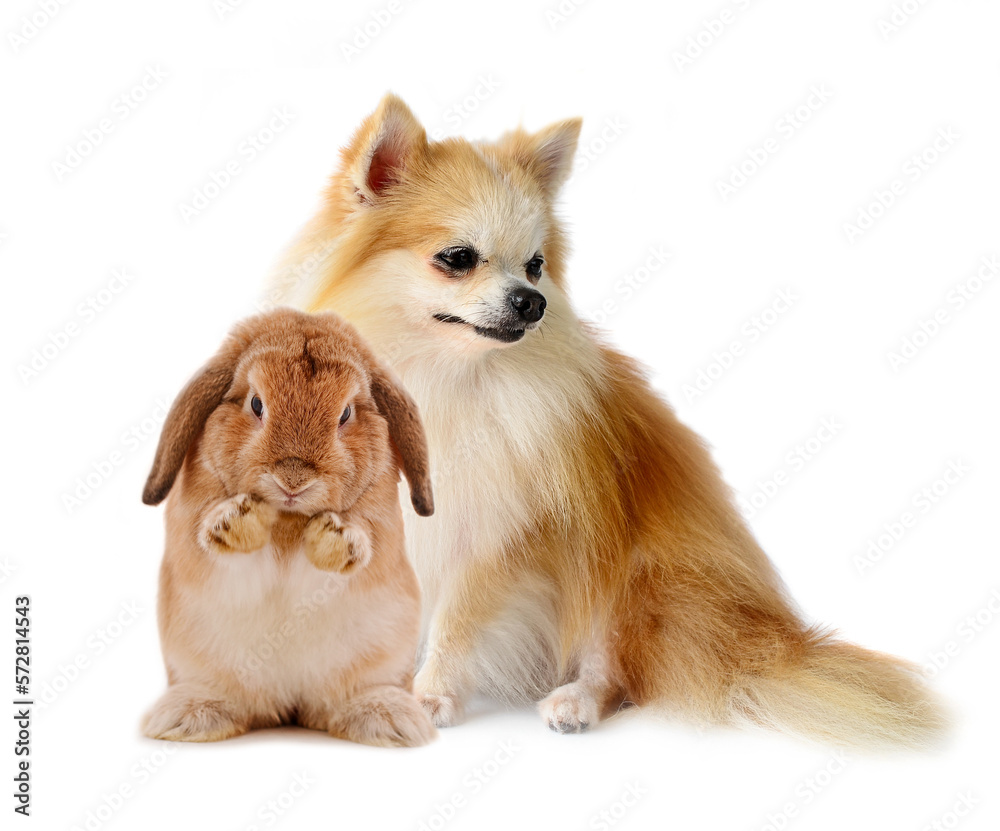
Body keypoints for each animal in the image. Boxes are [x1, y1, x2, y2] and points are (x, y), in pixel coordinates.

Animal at [140, 308, 434, 752]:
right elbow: (213, 535)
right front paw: (239, 518)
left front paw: (333, 537)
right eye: (256, 403)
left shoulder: (381, 526)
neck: (289, 519)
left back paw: (389, 720)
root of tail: (289, 706)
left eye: (345, 414)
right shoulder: (196, 529)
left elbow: (362, 538)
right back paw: (188, 717)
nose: (293, 479)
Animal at [270, 96, 948, 748]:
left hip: (633, 574)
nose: (532, 301)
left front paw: (432, 693)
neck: (440, 377)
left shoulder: (497, 536)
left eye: (535, 265)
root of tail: (761, 640)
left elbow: (457, 620)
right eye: (457, 258)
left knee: (617, 671)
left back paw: (574, 702)